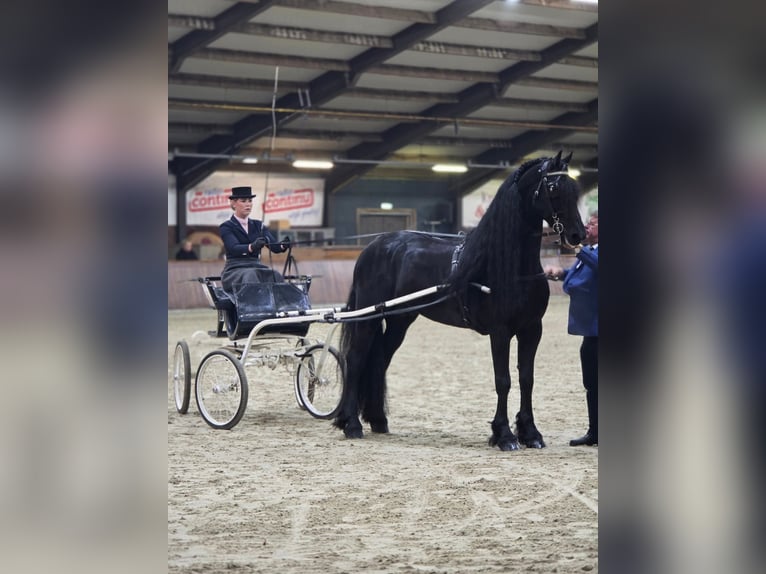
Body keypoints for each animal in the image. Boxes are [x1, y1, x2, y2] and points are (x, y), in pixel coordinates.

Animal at [333, 151, 586, 450]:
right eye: (554, 188)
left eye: (575, 189)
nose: (578, 235)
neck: (507, 266)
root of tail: (372, 247)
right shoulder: (500, 331)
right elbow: (503, 380)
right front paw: (504, 435)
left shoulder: (532, 329)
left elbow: (527, 378)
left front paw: (530, 433)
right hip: (367, 316)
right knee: (356, 359)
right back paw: (351, 424)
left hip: (400, 319)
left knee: (380, 358)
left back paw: (378, 420)